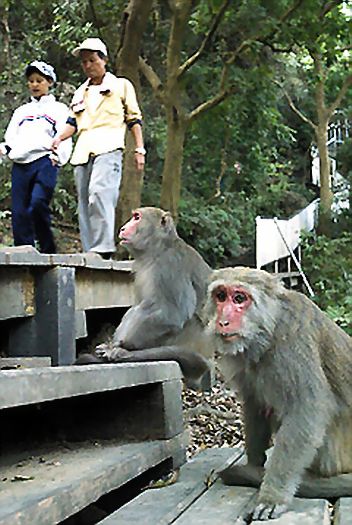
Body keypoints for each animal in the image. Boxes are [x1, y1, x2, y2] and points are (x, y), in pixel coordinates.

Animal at [76, 207, 214, 386]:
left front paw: (120, 347)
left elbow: (172, 315)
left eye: (137, 218)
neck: (158, 249)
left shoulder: (170, 266)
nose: (122, 228)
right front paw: (112, 345)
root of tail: (206, 358)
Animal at [204, 266, 352, 520]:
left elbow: (307, 409)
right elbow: (254, 403)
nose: (223, 321)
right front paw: (254, 464)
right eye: (221, 296)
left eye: (239, 298)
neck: (267, 330)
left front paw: (272, 496)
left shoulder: (292, 339)